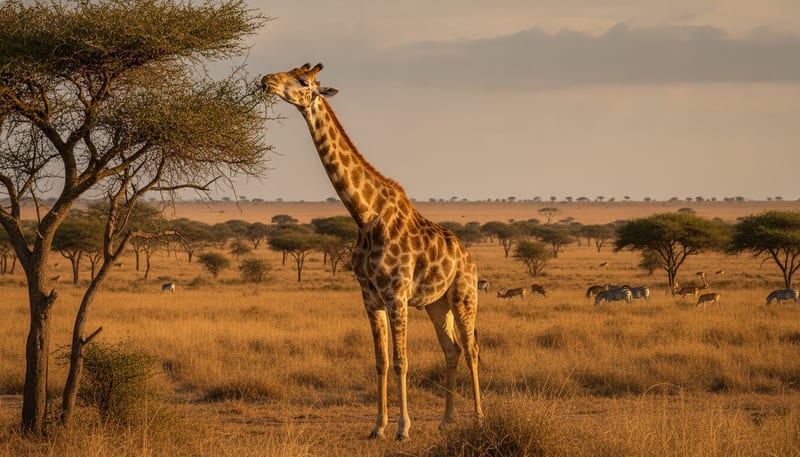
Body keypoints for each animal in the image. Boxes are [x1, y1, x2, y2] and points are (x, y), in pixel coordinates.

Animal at [261, 63, 483, 441]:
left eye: (303, 81)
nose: (266, 81)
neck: (366, 215)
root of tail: (468, 257)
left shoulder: (396, 295)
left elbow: (401, 361)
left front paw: (403, 429)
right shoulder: (369, 297)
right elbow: (380, 362)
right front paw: (377, 426)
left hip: (463, 295)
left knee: (471, 349)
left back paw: (480, 419)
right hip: (436, 304)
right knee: (451, 349)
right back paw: (446, 421)